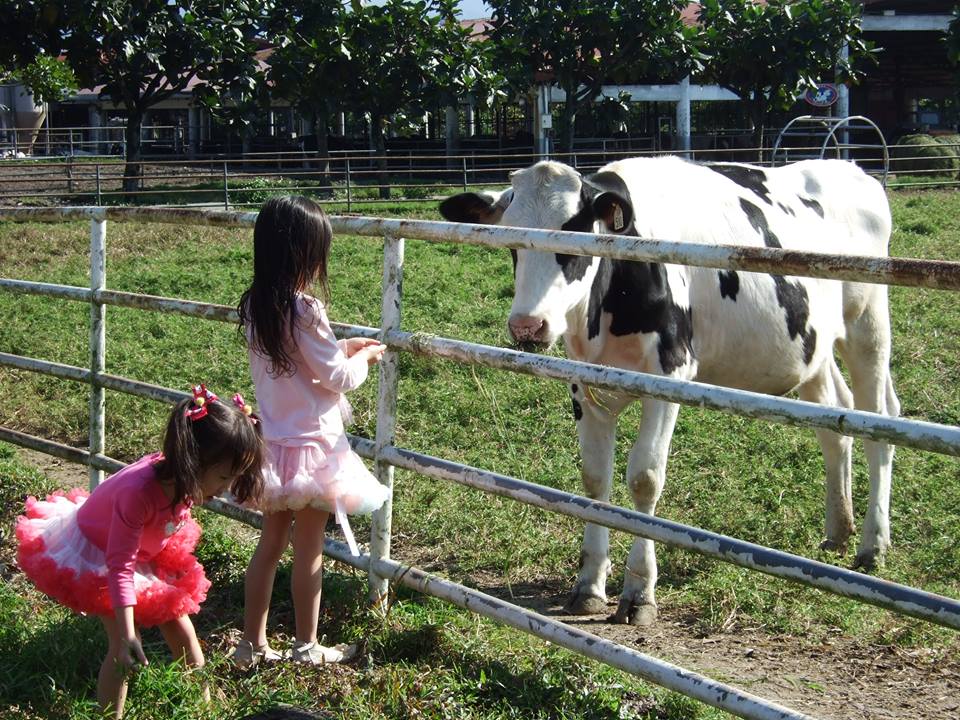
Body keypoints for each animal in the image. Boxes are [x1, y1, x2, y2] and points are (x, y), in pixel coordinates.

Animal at [442, 156, 900, 624]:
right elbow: (594, 478)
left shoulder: (670, 375)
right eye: (511, 242)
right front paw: (589, 585)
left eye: (575, 237)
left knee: (880, 422)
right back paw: (838, 531)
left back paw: (872, 545)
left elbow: (645, 477)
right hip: (813, 349)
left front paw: (639, 593)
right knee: (836, 421)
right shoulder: (583, 383)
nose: (527, 327)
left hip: (868, 323)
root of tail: (848, 167)